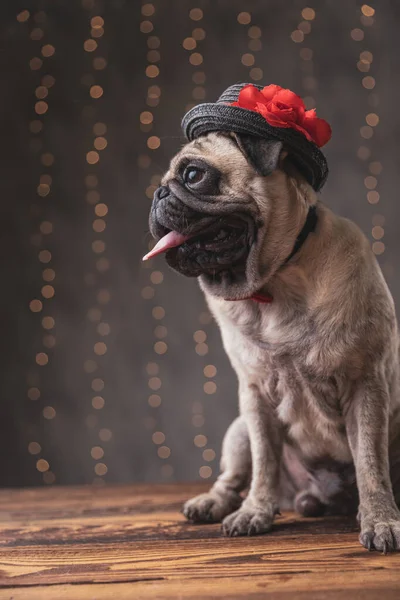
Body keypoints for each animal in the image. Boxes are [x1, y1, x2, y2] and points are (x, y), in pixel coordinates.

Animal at [145, 127, 400, 552]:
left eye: (193, 175)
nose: (159, 194)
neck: (276, 281)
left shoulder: (365, 386)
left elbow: (370, 464)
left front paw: (381, 520)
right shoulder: (256, 397)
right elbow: (265, 460)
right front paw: (255, 511)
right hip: (238, 431)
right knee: (233, 477)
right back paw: (213, 503)